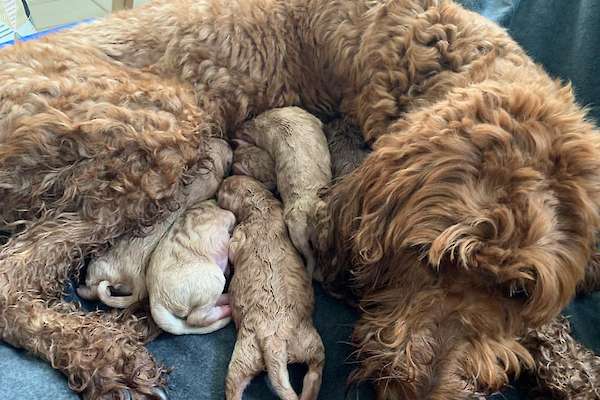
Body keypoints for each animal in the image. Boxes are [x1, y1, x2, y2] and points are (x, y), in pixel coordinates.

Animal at [146, 199, 236, 334]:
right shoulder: (227, 215)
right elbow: (233, 217)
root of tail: (154, 298)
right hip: (212, 279)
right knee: (195, 317)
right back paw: (227, 308)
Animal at [218, 176, 326, 400]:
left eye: (224, 188)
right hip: (309, 341)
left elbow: (233, 248)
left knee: (233, 385)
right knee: (315, 368)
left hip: (244, 354)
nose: (220, 185)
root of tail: (274, 343)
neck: (261, 208)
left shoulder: (241, 234)